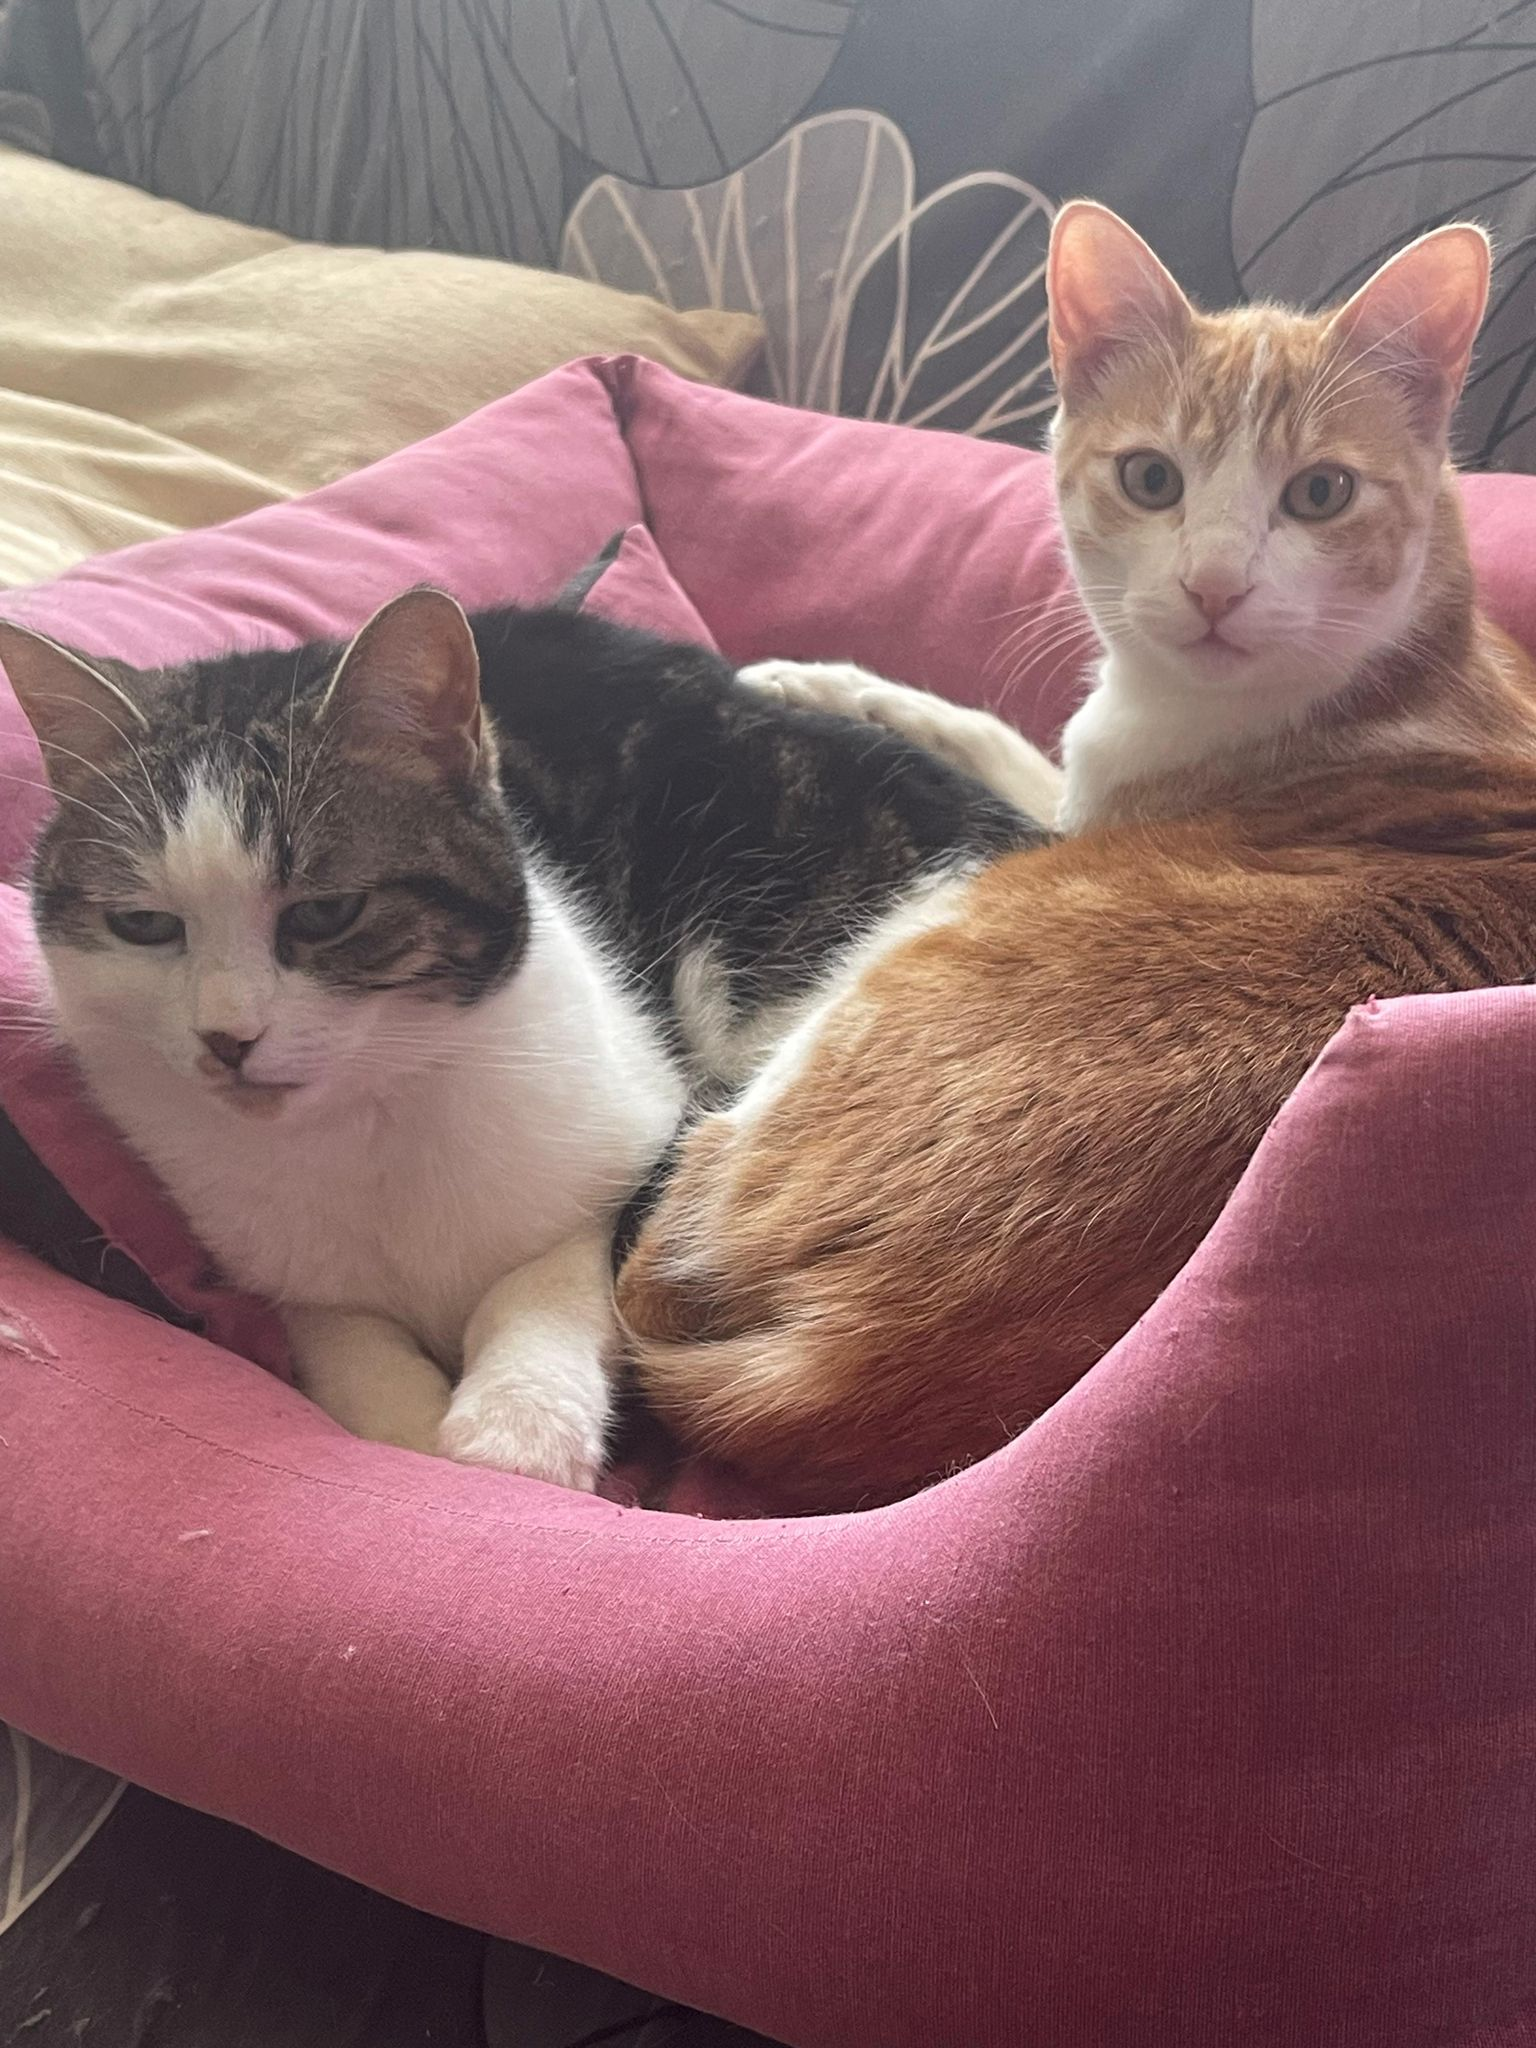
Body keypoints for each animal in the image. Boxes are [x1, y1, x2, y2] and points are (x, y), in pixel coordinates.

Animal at [0, 588, 1050, 1489]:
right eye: (144, 926)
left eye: (326, 914)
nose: (227, 1036)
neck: (369, 1118)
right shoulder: (286, 1267)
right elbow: (344, 1338)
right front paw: (408, 1435)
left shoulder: (635, 1141)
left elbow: (551, 1274)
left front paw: (517, 1431)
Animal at [613, 204, 1536, 1510]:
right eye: (1152, 479)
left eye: (1320, 493)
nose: (1214, 585)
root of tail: (850, 1357)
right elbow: (985, 724)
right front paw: (830, 680)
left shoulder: (1079, 812)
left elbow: (1008, 748)